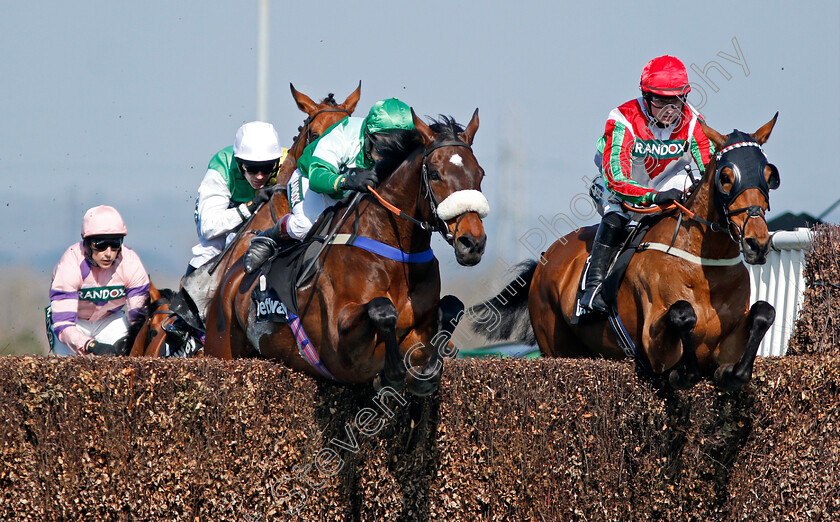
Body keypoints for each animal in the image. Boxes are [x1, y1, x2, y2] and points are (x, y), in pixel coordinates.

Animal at [202, 109, 486, 394]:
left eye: (480, 173)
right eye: (435, 174)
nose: (472, 242)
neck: (397, 254)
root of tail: (230, 279)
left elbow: (451, 307)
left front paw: (425, 374)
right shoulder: (341, 351)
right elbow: (383, 310)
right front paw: (391, 375)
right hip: (220, 345)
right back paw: (260, 248)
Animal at [472, 115, 780, 390]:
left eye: (769, 175)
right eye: (726, 177)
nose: (757, 243)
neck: (703, 267)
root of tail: (545, 259)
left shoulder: (726, 345)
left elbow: (764, 313)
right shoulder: (654, 347)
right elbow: (683, 316)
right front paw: (682, 372)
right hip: (555, 345)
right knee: (612, 218)